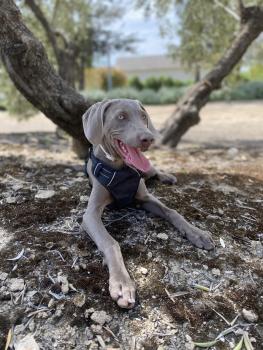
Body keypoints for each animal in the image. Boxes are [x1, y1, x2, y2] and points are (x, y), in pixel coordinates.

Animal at [81, 99, 216, 308]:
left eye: (144, 116)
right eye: (121, 116)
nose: (149, 138)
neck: (121, 169)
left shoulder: (145, 198)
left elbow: (172, 211)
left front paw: (197, 233)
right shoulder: (91, 214)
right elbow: (111, 243)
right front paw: (122, 283)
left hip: (148, 170)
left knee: (153, 170)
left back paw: (167, 176)